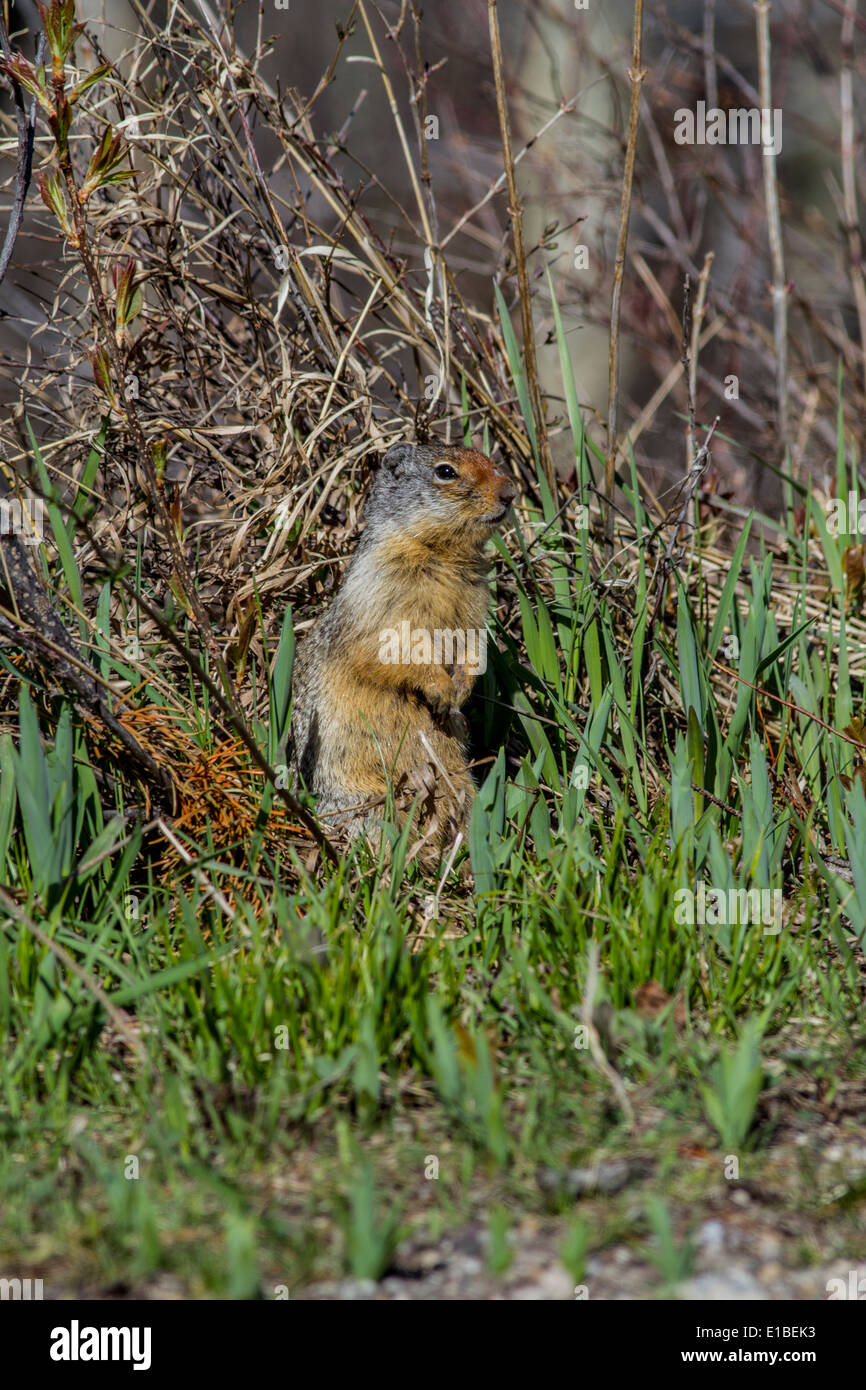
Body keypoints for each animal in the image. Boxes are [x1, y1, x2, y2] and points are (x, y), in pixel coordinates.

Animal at [289, 440, 515, 841]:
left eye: (491, 461)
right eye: (445, 471)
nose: (510, 493)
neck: (442, 556)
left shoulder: (475, 605)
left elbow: (474, 646)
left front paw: (460, 691)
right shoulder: (381, 594)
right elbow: (393, 649)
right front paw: (441, 689)